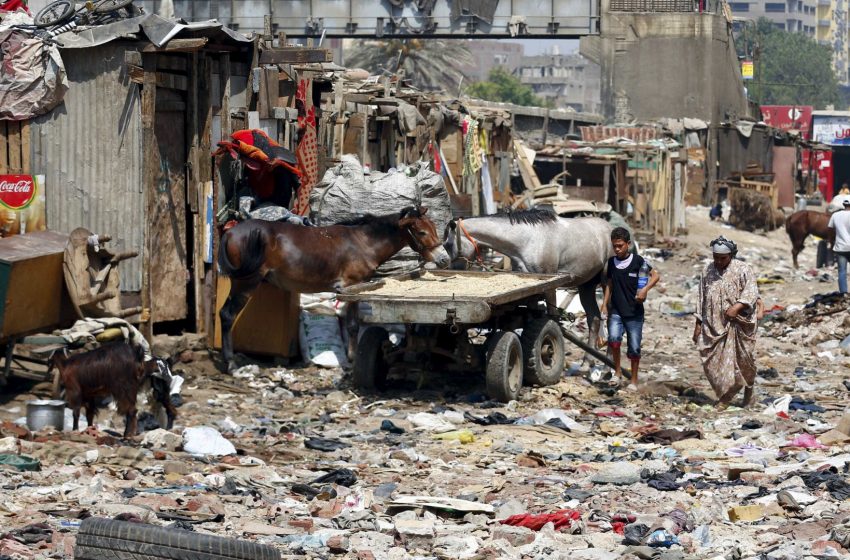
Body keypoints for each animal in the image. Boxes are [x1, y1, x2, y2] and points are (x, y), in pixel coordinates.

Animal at [47, 342, 176, 438]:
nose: (48, 363)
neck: (66, 365)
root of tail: (136, 355)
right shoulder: (89, 394)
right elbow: (89, 414)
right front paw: (89, 430)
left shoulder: (75, 391)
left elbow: (76, 412)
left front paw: (75, 430)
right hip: (137, 390)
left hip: (124, 388)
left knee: (131, 410)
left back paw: (127, 436)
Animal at [215, 208, 448, 370]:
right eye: (421, 232)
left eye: (435, 228)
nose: (445, 259)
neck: (363, 243)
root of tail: (230, 232)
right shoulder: (351, 286)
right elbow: (353, 325)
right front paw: (352, 360)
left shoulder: (355, 289)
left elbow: (352, 325)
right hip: (247, 282)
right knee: (227, 315)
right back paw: (231, 362)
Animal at [440, 209, 612, 340]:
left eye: (448, 244)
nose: (453, 269)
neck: (528, 240)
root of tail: (610, 228)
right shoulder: (533, 288)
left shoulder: (550, 285)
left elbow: (553, 316)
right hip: (586, 285)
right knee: (594, 320)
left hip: (606, 286)